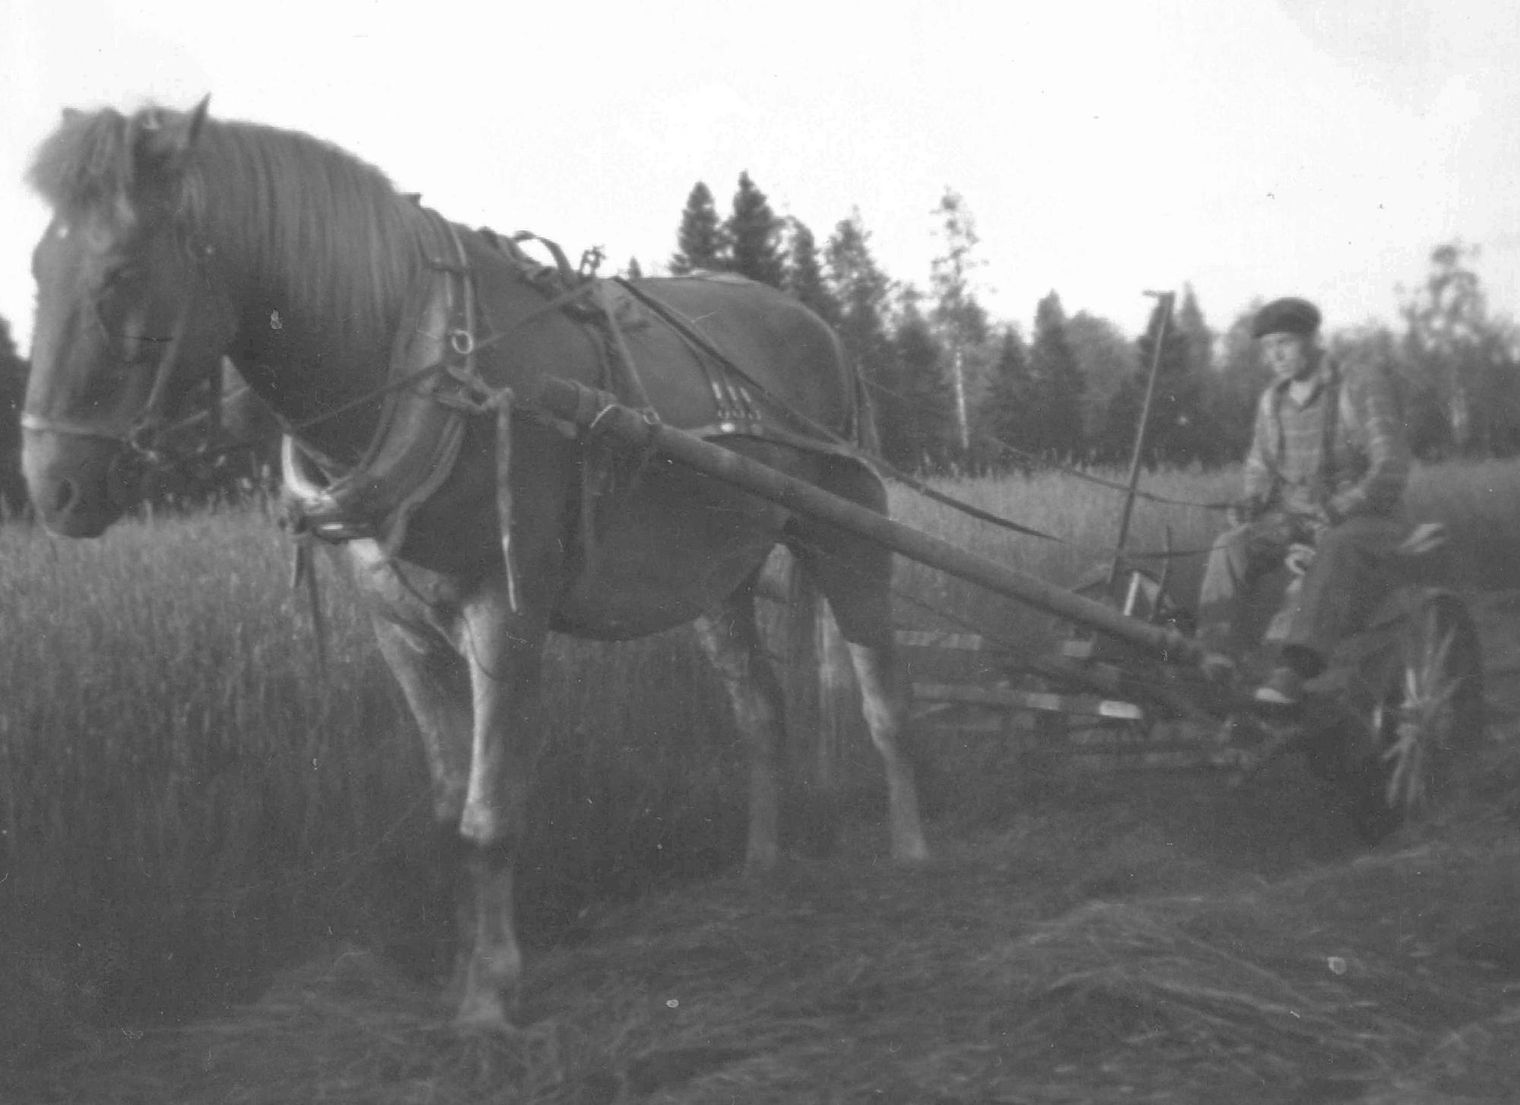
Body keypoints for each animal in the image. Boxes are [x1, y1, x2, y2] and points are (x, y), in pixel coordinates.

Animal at [20, 99, 924, 1033]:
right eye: (39, 267)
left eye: (119, 273)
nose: (52, 487)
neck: (420, 364)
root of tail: (821, 328)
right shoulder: (400, 631)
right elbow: (450, 805)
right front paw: (458, 972)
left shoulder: (506, 612)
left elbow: (489, 815)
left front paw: (490, 996)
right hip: (720, 578)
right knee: (762, 712)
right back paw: (763, 866)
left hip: (849, 533)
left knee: (884, 695)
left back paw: (913, 851)